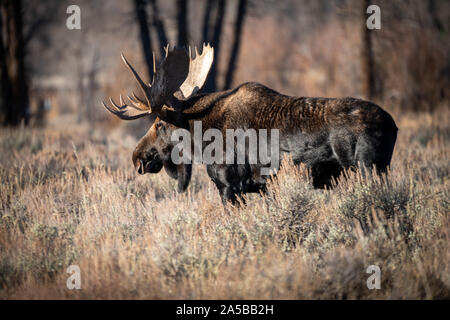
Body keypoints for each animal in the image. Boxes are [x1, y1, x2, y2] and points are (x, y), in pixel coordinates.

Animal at [102, 43, 398, 205]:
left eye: (160, 124)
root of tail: (393, 126)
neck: (202, 135)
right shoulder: (261, 189)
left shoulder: (229, 185)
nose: (137, 157)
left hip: (367, 169)